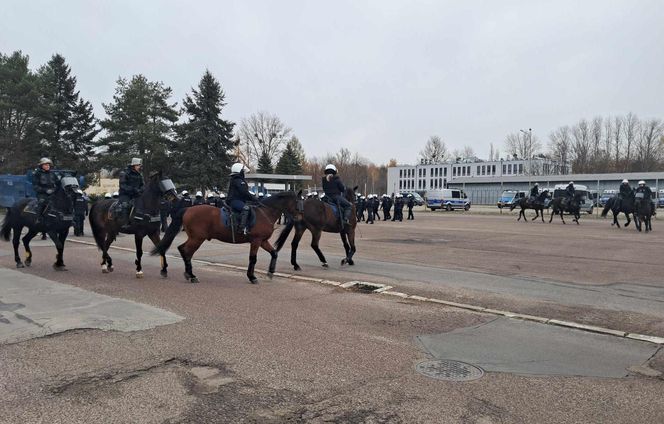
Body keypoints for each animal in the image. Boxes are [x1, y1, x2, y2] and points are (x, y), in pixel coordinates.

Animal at [150, 190, 300, 284]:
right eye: (298, 202)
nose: (299, 218)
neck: (265, 213)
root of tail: (188, 209)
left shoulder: (263, 241)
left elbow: (274, 253)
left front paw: (271, 272)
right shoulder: (256, 241)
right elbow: (253, 259)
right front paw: (251, 277)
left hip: (195, 238)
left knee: (184, 250)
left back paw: (189, 274)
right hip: (197, 239)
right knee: (185, 251)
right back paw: (191, 275)